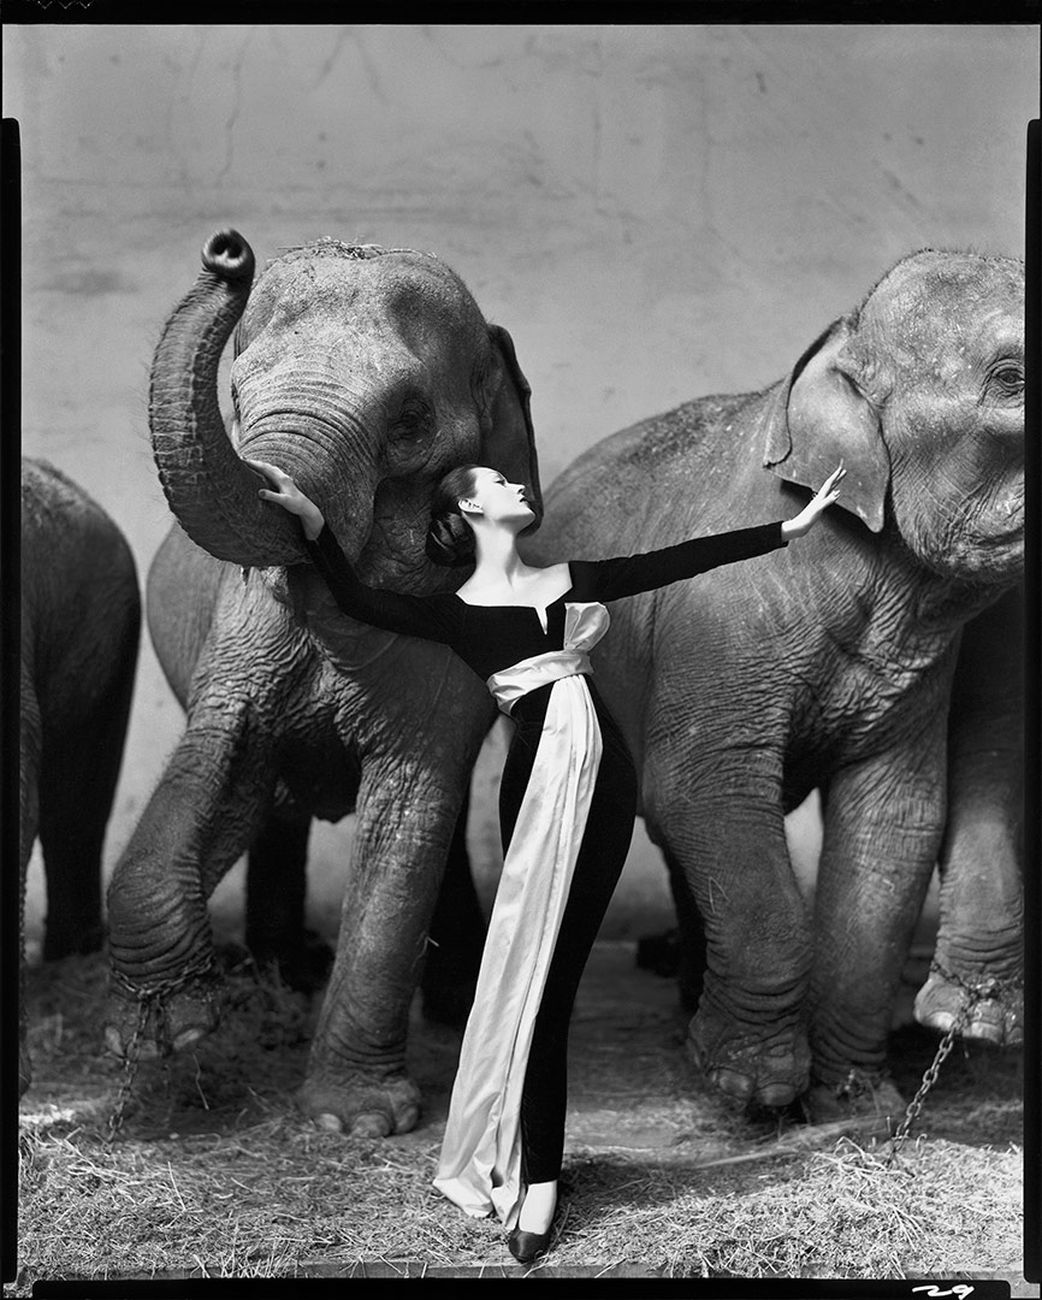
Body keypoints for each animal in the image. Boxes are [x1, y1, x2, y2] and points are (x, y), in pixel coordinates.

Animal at [103, 231, 543, 1138]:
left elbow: (412, 806)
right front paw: (167, 1033)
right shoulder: (241, 632)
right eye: (236, 395)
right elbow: (221, 757)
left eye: (409, 419)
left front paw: (353, 1123)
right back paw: (284, 972)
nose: (228, 252)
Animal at [524, 253, 1018, 1118]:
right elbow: (702, 786)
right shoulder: (720, 621)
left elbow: (895, 820)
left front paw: (857, 1102)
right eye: (1013, 377)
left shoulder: (921, 671)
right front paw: (749, 1088)